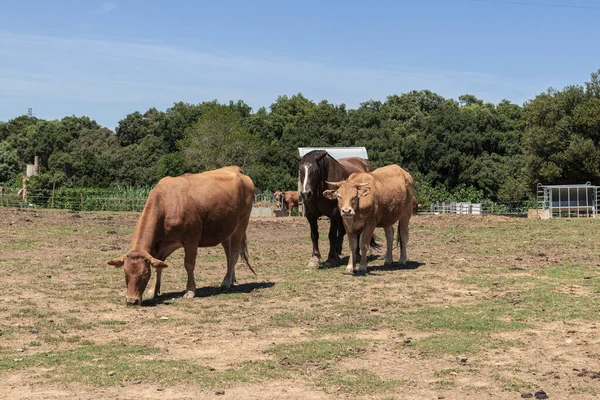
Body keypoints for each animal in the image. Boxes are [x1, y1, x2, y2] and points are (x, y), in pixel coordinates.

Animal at [106, 166, 254, 306]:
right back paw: (230, 279)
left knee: (234, 254)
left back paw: (226, 282)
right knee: (228, 255)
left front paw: (190, 291)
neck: (165, 203)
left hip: (241, 225)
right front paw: (154, 290)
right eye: (125, 272)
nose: (132, 301)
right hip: (226, 231)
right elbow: (159, 265)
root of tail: (236, 170)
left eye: (145, 273)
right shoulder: (160, 245)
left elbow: (189, 265)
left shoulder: (191, 240)